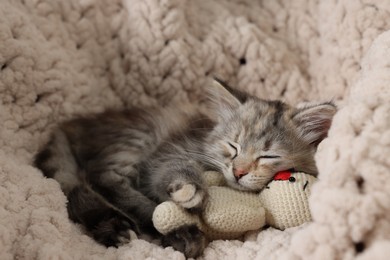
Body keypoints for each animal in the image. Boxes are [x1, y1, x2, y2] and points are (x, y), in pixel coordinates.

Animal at [35, 79, 336, 258]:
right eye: (233, 146)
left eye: (268, 155)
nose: (238, 172)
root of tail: (71, 125)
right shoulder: (166, 154)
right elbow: (174, 171)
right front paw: (188, 189)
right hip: (135, 137)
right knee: (102, 179)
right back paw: (172, 232)